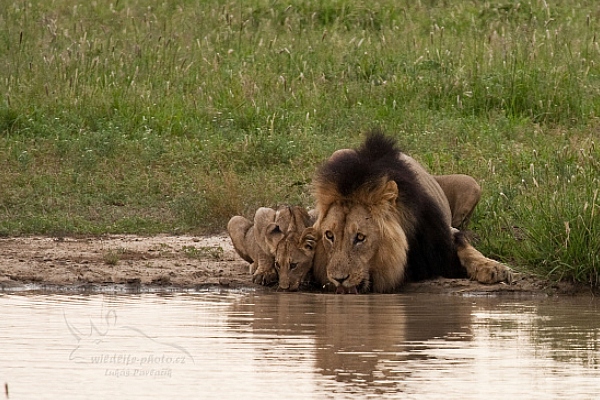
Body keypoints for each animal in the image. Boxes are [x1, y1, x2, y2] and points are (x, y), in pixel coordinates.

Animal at [310, 131, 510, 294]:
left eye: (360, 237)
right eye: (329, 235)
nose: (338, 279)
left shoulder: (443, 235)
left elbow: (466, 246)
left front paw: (494, 268)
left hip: (471, 184)